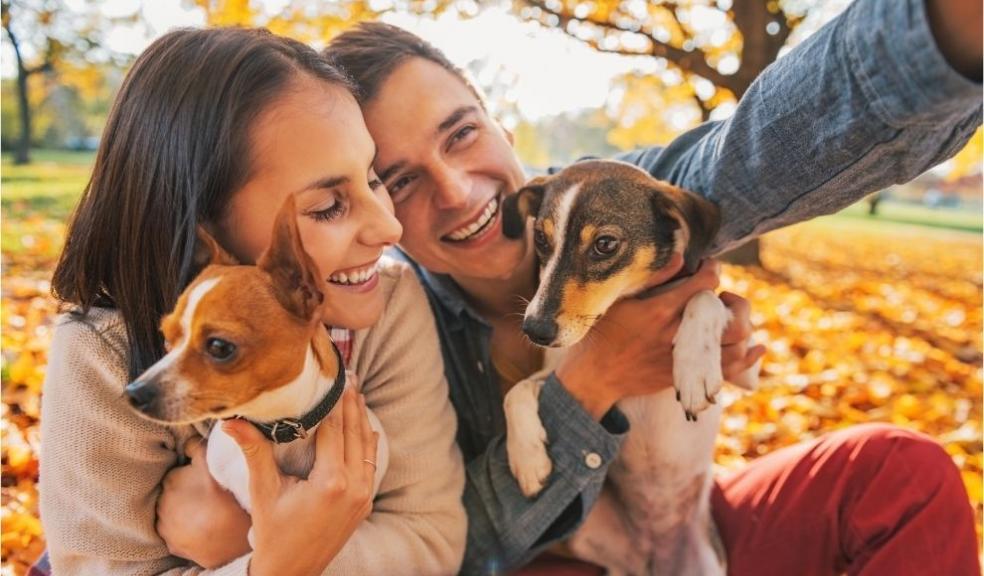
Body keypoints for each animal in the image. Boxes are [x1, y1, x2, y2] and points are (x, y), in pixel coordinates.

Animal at [500, 160, 760, 572]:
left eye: (605, 244)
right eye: (541, 239)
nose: (535, 330)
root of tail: (651, 559)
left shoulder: (747, 368)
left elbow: (705, 299)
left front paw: (694, 370)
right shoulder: (561, 370)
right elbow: (516, 391)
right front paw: (527, 459)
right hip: (586, 534)